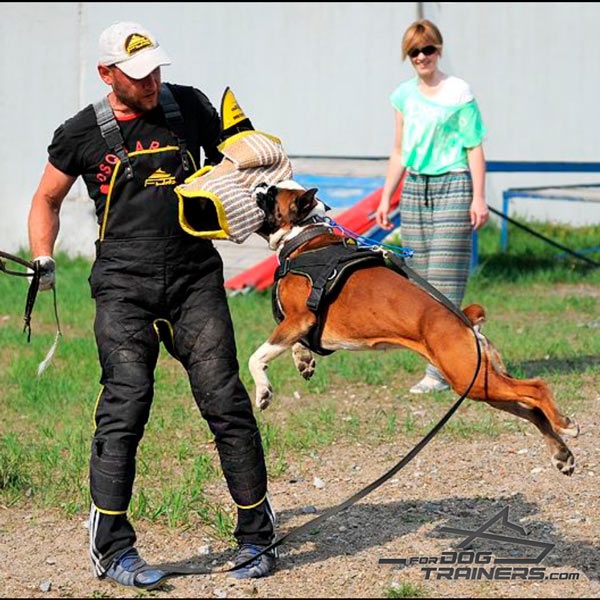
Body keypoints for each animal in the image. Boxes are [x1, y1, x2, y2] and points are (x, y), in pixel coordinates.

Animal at [247, 182, 576, 474]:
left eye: (272, 194)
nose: (258, 186)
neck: (305, 236)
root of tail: (466, 320)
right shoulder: (299, 324)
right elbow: (293, 344)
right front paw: (304, 360)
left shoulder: (299, 318)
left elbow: (257, 356)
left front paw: (263, 391)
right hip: (482, 384)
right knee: (532, 410)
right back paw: (561, 455)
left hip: (472, 379)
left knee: (536, 388)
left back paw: (565, 425)